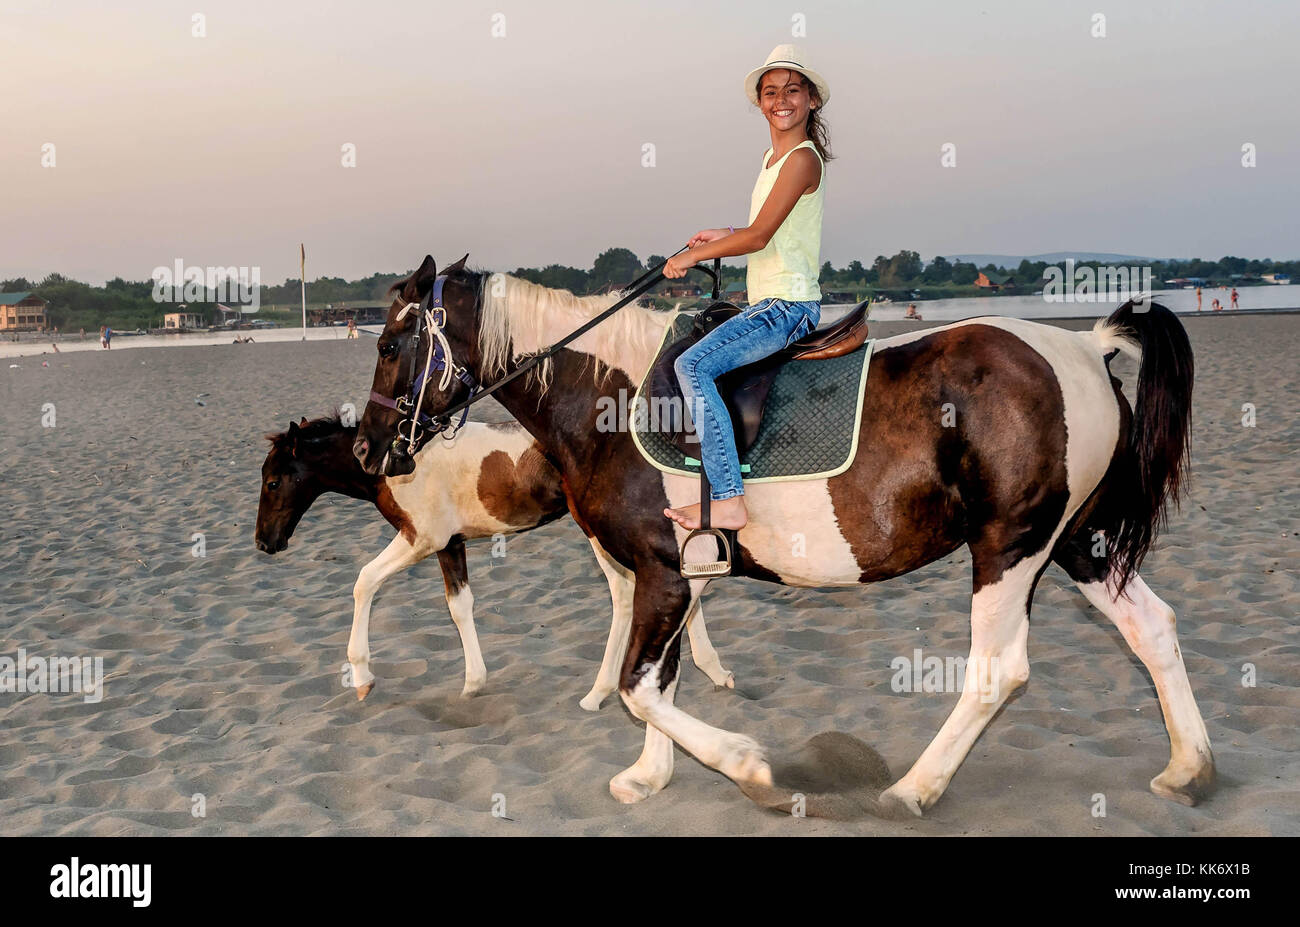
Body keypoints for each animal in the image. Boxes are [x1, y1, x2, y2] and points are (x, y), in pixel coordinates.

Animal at [255, 412, 734, 707]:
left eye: (274, 481)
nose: (264, 542)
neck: (394, 463)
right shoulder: (450, 543)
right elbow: (459, 605)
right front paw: (473, 683)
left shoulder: (421, 538)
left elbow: (364, 581)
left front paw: (361, 678)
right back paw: (714, 671)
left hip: (598, 530)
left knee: (626, 592)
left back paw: (597, 693)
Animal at [353, 253, 1214, 816]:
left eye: (390, 344)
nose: (366, 448)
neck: (613, 397)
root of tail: (1087, 348)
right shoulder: (674, 577)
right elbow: (658, 682)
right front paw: (650, 776)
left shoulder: (662, 572)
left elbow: (640, 687)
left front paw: (750, 768)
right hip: (1076, 543)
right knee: (1153, 627)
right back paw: (1188, 767)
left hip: (1011, 547)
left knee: (998, 672)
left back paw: (912, 788)